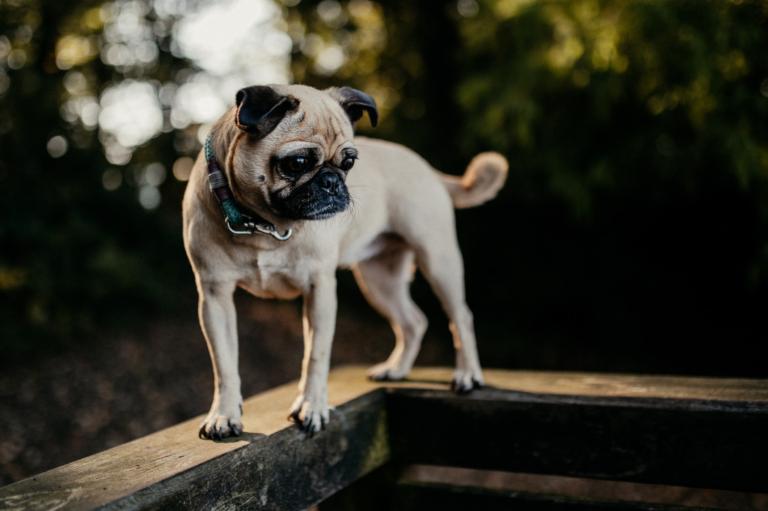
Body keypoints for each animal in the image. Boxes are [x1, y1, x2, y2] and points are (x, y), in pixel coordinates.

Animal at [182, 85, 508, 440]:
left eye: (348, 162)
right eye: (298, 163)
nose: (331, 181)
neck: (265, 224)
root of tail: (427, 167)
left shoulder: (320, 290)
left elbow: (316, 356)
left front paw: (312, 406)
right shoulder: (215, 297)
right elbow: (225, 365)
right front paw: (224, 415)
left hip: (438, 260)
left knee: (460, 316)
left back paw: (467, 376)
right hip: (379, 282)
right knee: (414, 321)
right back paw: (396, 370)